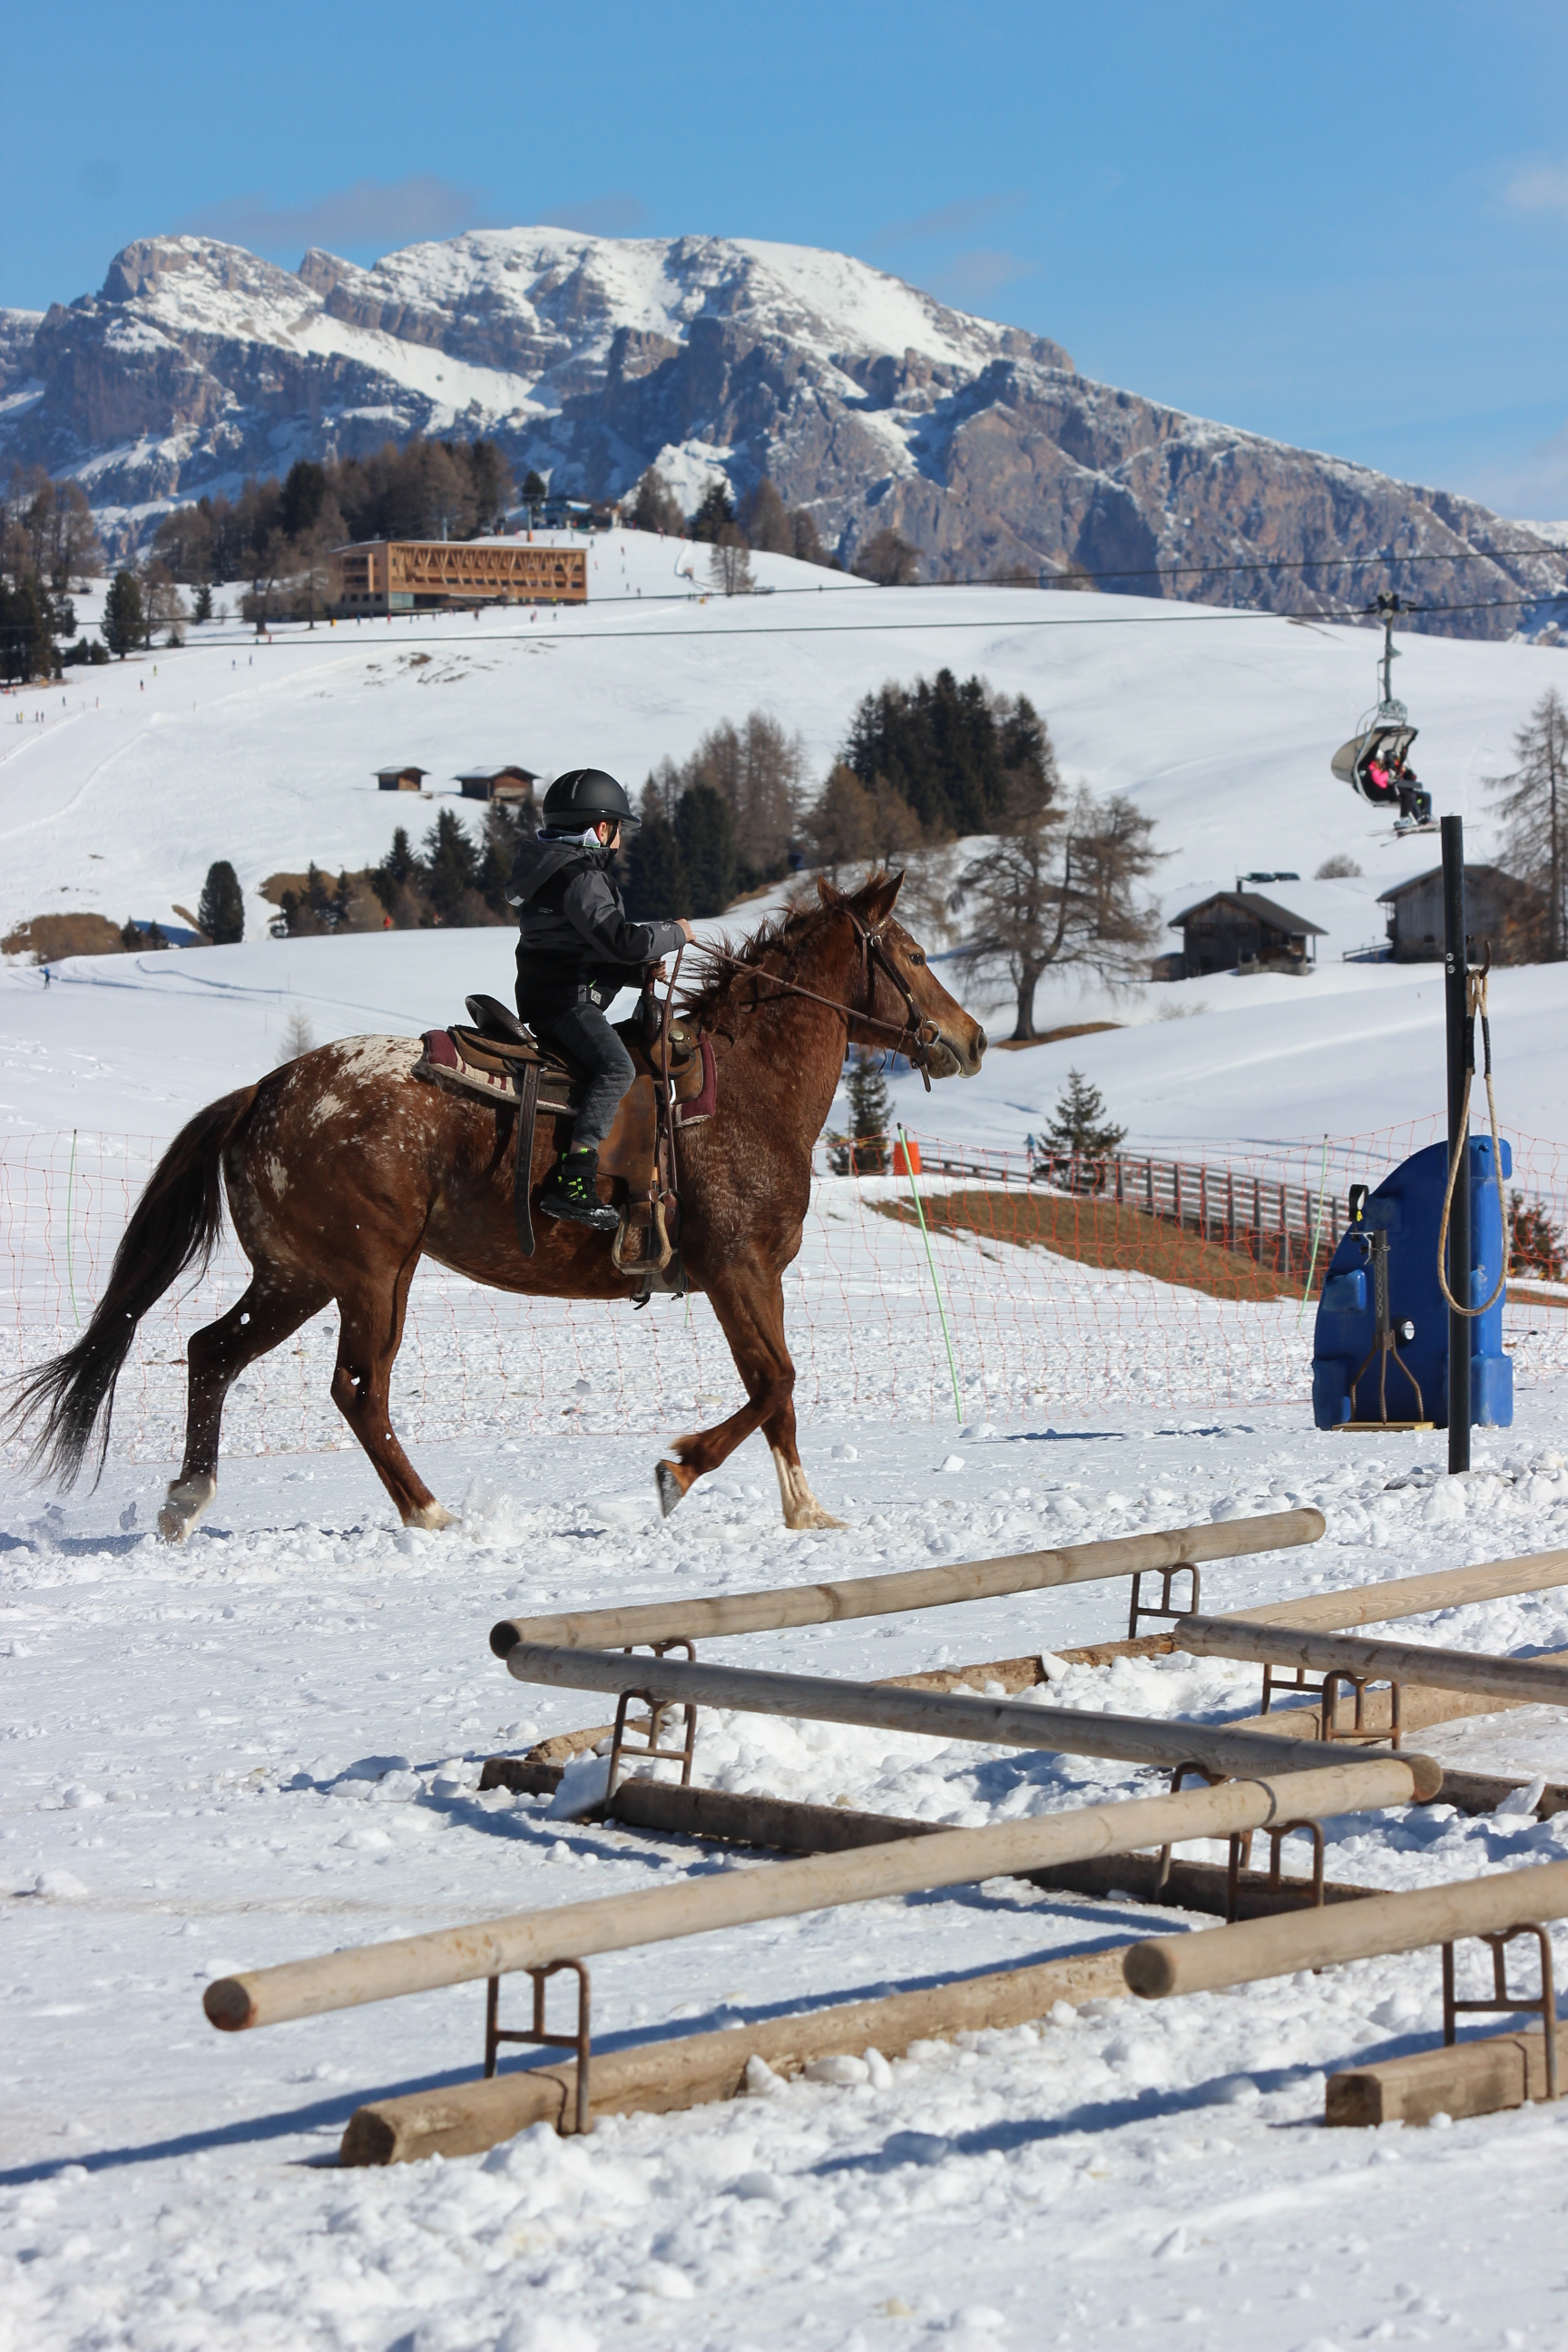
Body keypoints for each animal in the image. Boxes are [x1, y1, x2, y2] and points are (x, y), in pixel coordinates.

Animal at [6, 871, 986, 1541]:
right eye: (914, 956)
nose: (972, 1039)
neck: (746, 1086)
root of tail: (265, 1092)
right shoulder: (735, 1269)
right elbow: (773, 1382)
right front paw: (682, 1473)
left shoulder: (752, 1277)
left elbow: (775, 1390)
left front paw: (806, 1512)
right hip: (369, 1274)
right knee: (357, 1389)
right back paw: (430, 1514)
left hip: (299, 1275)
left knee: (213, 1353)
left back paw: (186, 1501)